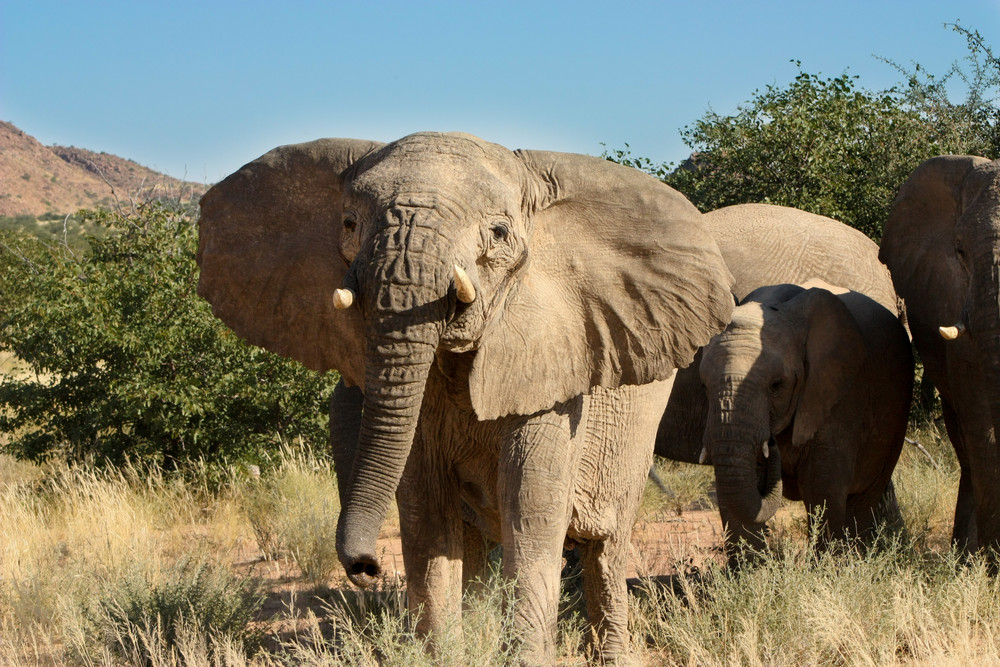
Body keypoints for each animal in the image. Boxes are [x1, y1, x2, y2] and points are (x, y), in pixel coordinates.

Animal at [197, 133, 736, 664]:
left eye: (498, 233)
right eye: (349, 224)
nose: (365, 567)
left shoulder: (555, 364)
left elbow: (532, 507)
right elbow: (425, 512)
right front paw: (443, 654)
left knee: (605, 547)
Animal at [696, 282, 916, 560]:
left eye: (776, 385)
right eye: (704, 385)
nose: (771, 444)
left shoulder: (839, 396)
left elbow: (822, 489)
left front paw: (827, 566)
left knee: (863, 500)